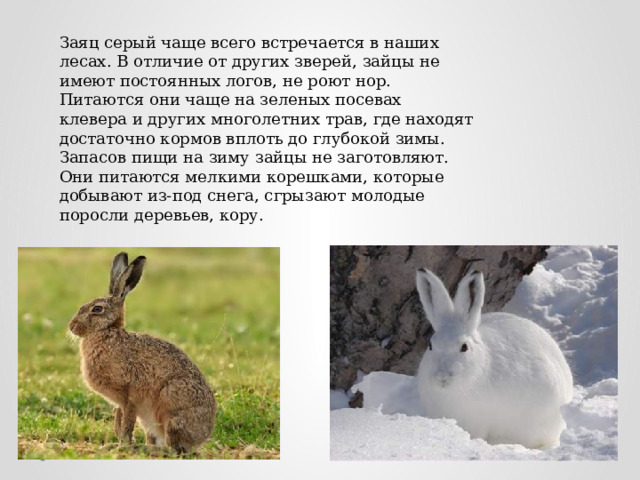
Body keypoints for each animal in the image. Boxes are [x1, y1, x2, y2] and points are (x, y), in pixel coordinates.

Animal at [68, 252, 217, 453]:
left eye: (97, 309)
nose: (71, 327)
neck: (108, 332)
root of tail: (203, 436)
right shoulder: (122, 403)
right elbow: (120, 420)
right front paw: (118, 443)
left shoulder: (131, 396)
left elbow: (127, 424)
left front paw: (121, 446)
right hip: (149, 421)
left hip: (171, 404)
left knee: (173, 448)